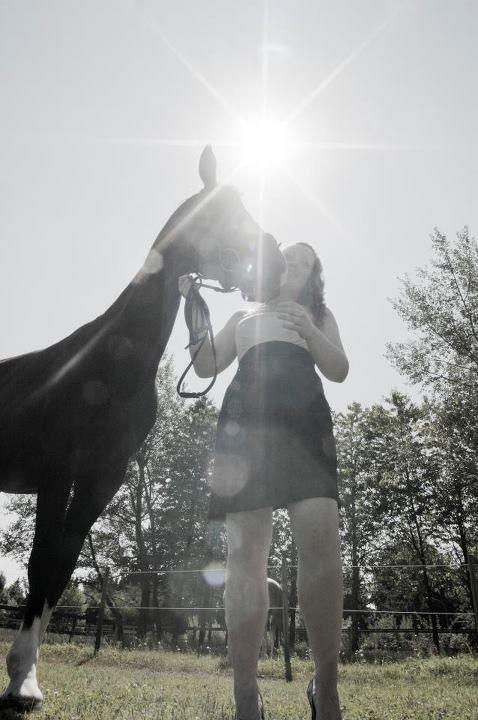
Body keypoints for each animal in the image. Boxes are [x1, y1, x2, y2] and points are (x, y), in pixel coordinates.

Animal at [0, 146, 286, 708]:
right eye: (221, 212)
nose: (276, 260)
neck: (114, 365)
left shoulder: (102, 479)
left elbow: (61, 566)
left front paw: (27, 673)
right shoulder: (57, 474)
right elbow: (41, 563)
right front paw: (21, 680)